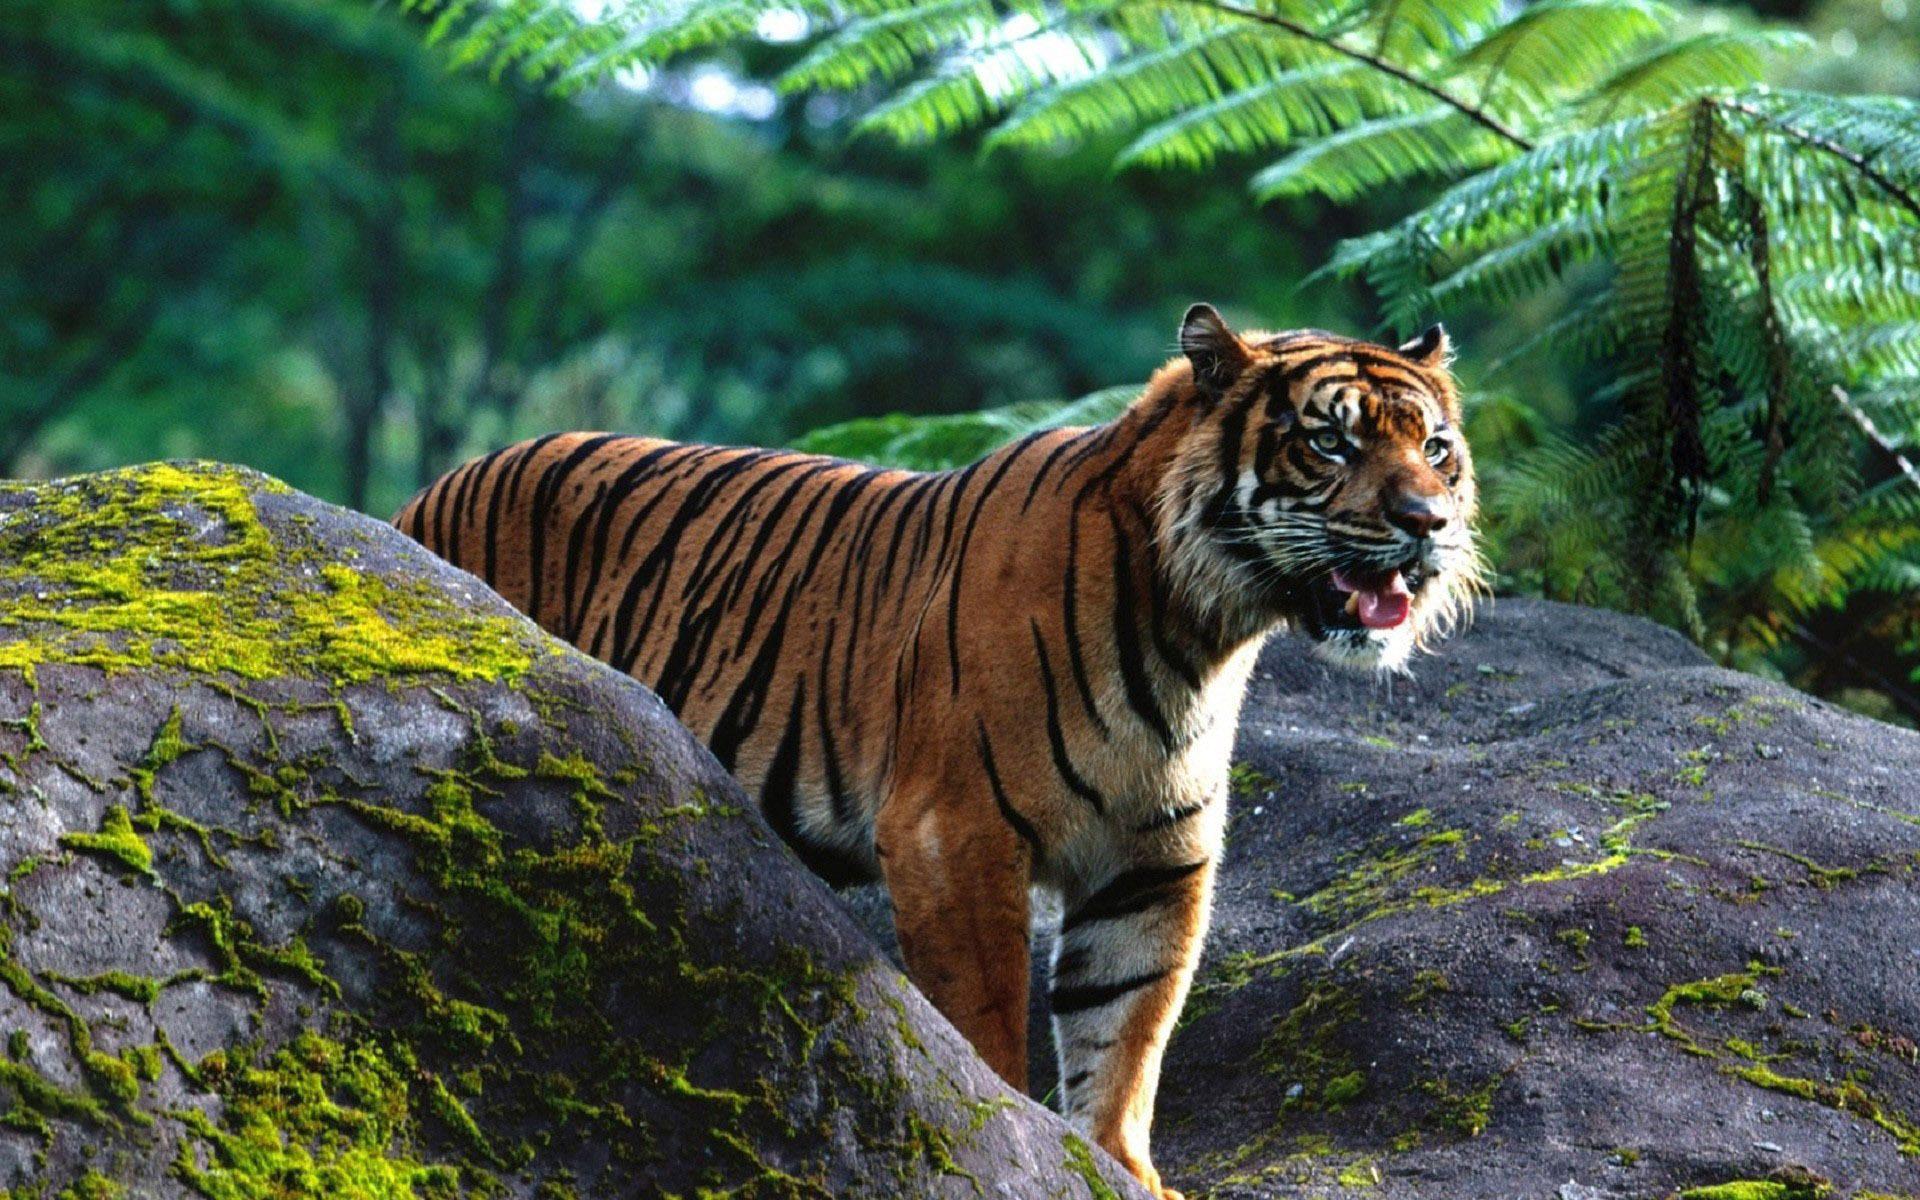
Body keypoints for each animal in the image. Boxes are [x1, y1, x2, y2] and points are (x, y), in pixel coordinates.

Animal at [395, 304, 1482, 1199]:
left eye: (1435, 448)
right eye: (1331, 441)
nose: (1428, 523)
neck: (1201, 632)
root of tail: (426, 494)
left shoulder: (1153, 861)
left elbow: (1128, 1029)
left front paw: (1119, 1167)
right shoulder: (953, 831)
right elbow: (988, 1015)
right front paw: (1007, 1140)